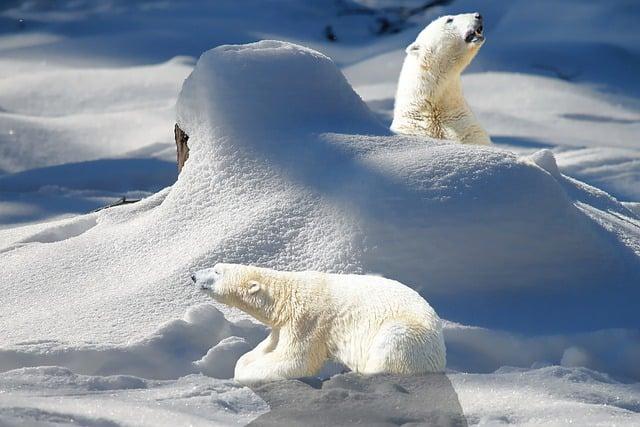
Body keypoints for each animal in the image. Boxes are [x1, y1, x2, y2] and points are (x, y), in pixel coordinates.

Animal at [192, 262, 448, 386]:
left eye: (217, 271)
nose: (193, 275)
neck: (286, 296)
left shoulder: (308, 321)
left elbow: (297, 360)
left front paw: (247, 373)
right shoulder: (282, 326)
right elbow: (268, 346)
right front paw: (246, 360)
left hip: (407, 336)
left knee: (389, 348)